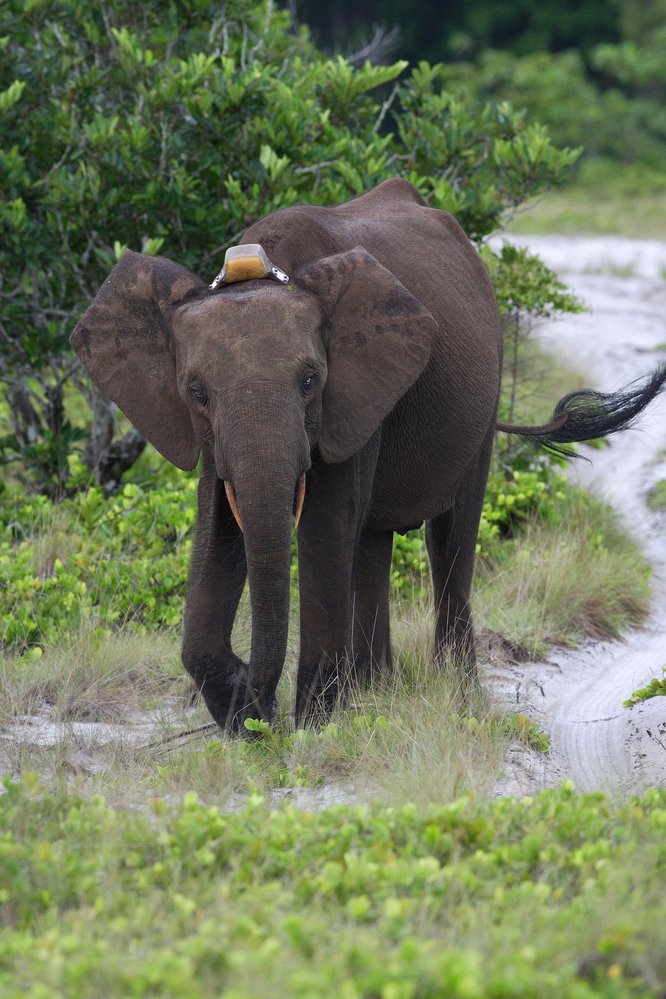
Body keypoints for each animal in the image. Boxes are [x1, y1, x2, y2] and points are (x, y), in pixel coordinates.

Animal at [72, 180, 664, 732]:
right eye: (196, 392)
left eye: (310, 381)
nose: (261, 711)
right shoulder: (211, 437)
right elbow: (219, 529)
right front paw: (248, 720)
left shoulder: (353, 393)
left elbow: (324, 526)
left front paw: (309, 730)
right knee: (371, 543)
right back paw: (377, 690)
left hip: (486, 393)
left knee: (450, 537)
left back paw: (452, 695)